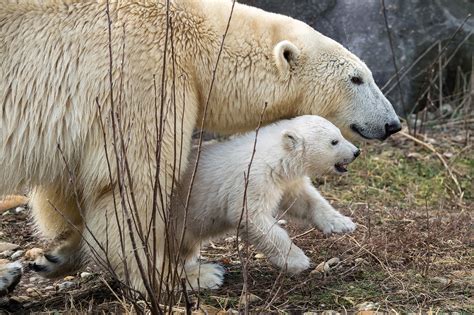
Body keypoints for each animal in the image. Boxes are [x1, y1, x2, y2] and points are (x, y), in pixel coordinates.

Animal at [0, 0, 400, 294]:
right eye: (356, 78)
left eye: (366, 74)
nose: (392, 123)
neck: (192, 41)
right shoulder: (142, 77)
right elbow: (133, 182)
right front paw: (182, 275)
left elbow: (71, 189)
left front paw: (58, 255)